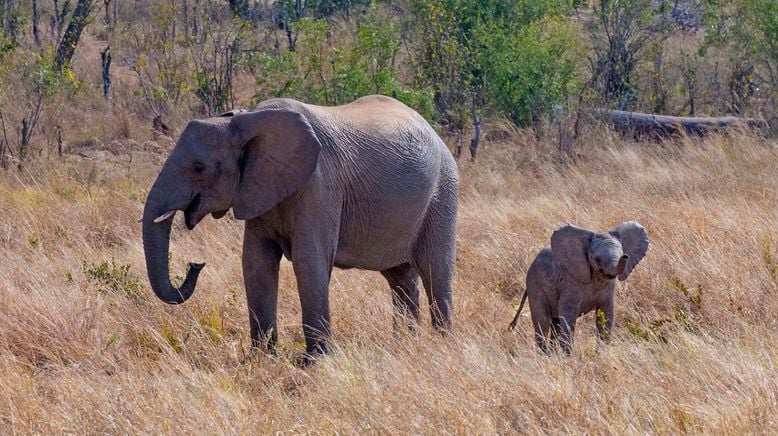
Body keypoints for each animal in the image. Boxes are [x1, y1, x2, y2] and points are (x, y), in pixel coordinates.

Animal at [140, 96, 458, 358]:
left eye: (198, 168)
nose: (195, 265)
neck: (246, 120)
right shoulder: (258, 189)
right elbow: (255, 263)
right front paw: (261, 358)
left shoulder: (319, 186)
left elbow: (309, 261)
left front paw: (315, 362)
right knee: (400, 277)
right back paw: (405, 345)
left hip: (444, 190)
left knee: (435, 271)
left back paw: (441, 345)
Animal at [510, 223, 648, 352]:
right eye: (595, 259)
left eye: (622, 254)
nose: (625, 256)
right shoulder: (570, 281)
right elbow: (568, 317)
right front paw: (567, 357)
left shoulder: (609, 288)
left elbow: (606, 316)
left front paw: (600, 355)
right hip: (535, 285)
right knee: (543, 321)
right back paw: (545, 355)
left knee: (555, 323)